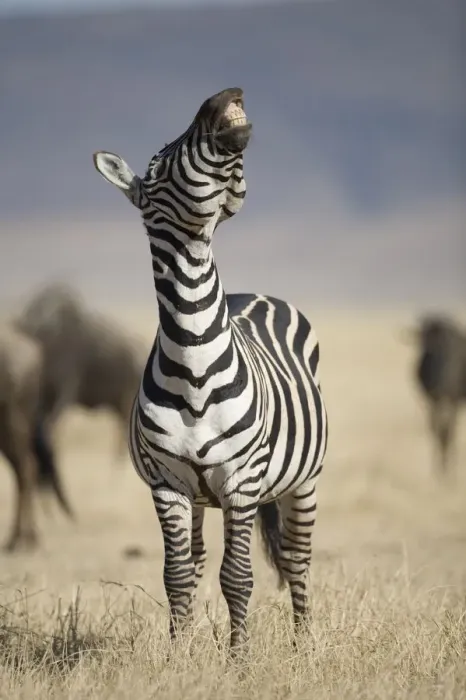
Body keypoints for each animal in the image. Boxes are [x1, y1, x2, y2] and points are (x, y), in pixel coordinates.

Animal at [93, 87, 328, 653]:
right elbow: (179, 575)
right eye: (157, 165)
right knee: (198, 560)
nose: (228, 95)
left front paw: (240, 659)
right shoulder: (167, 484)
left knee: (298, 561)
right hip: (200, 496)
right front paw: (179, 655)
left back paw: (304, 645)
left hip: (304, 480)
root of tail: (254, 293)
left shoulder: (242, 482)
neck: (195, 369)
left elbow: (238, 576)